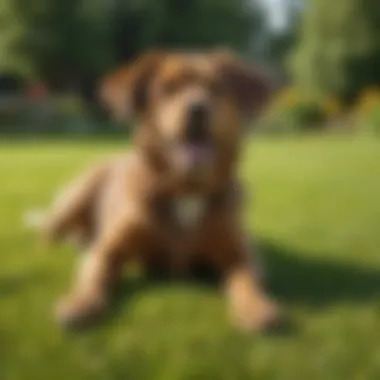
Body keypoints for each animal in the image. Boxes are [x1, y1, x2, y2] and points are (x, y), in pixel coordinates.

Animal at [28, 49, 280, 332]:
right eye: (167, 88)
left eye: (217, 87)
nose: (198, 109)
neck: (185, 189)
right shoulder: (109, 248)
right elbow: (96, 275)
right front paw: (81, 302)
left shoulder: (240, 253)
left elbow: (248, 278)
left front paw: (257, 306)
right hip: (75, 197)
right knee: (49, 233)